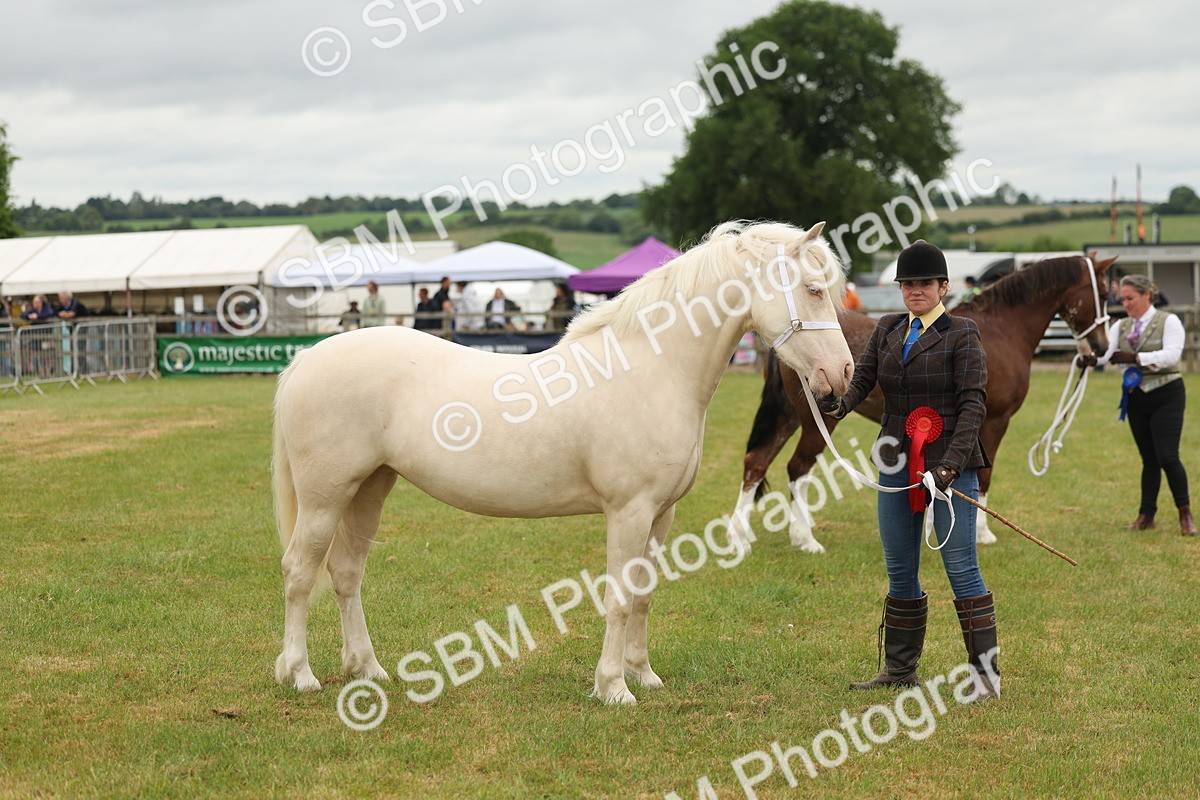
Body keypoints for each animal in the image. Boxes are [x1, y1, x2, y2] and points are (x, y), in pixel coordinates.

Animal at [272, 220, 854, 705]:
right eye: (814, 289)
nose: (843, 375)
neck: (651, 370)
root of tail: (307, 357)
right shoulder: (629, 512)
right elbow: (619, 598)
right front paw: (614, 688)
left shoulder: (661, 514)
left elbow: (644, 596)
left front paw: (644, 675)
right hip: (325, 497)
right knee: (300, 572)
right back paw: (300, 674)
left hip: (370, 487)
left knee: (346, 573)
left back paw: (367, 669)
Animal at [728, 254, 1116, 554]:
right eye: (1103, 293)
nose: (1099, 347)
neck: (1003, 330)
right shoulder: (994, 422)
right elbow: (984, 476)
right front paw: (982, 533)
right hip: (814, 421)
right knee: (798, 468)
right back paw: (804, 538)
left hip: (791, 415)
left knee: (757, 462)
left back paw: (742, 537)